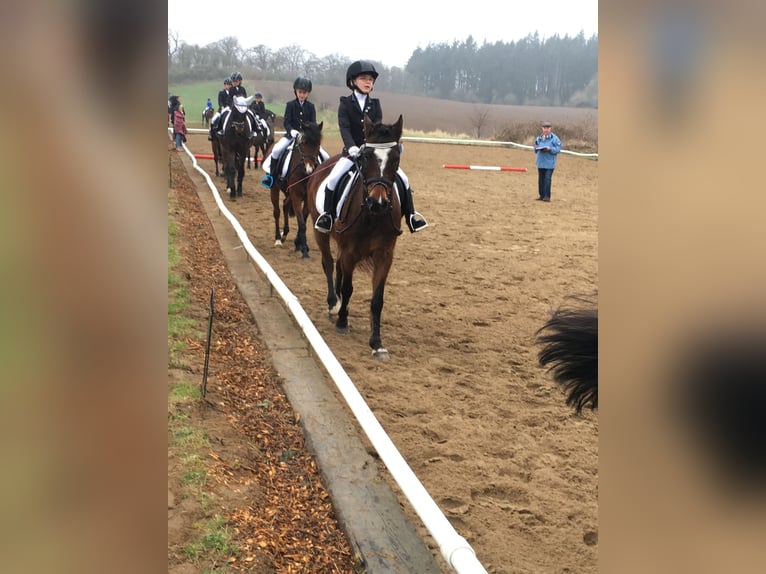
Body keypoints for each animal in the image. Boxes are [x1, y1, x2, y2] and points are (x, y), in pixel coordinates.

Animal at [306, 115, 404, 360]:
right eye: (366, 156)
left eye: (396, 158)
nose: (378, 202)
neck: (372, 216)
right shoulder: (349, 250)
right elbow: (349, 287)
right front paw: (342, 321)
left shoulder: (384, 255)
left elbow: (377, 299)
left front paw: (377, 343)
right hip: (319, 230)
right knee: (329, 263)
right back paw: (334, 304)